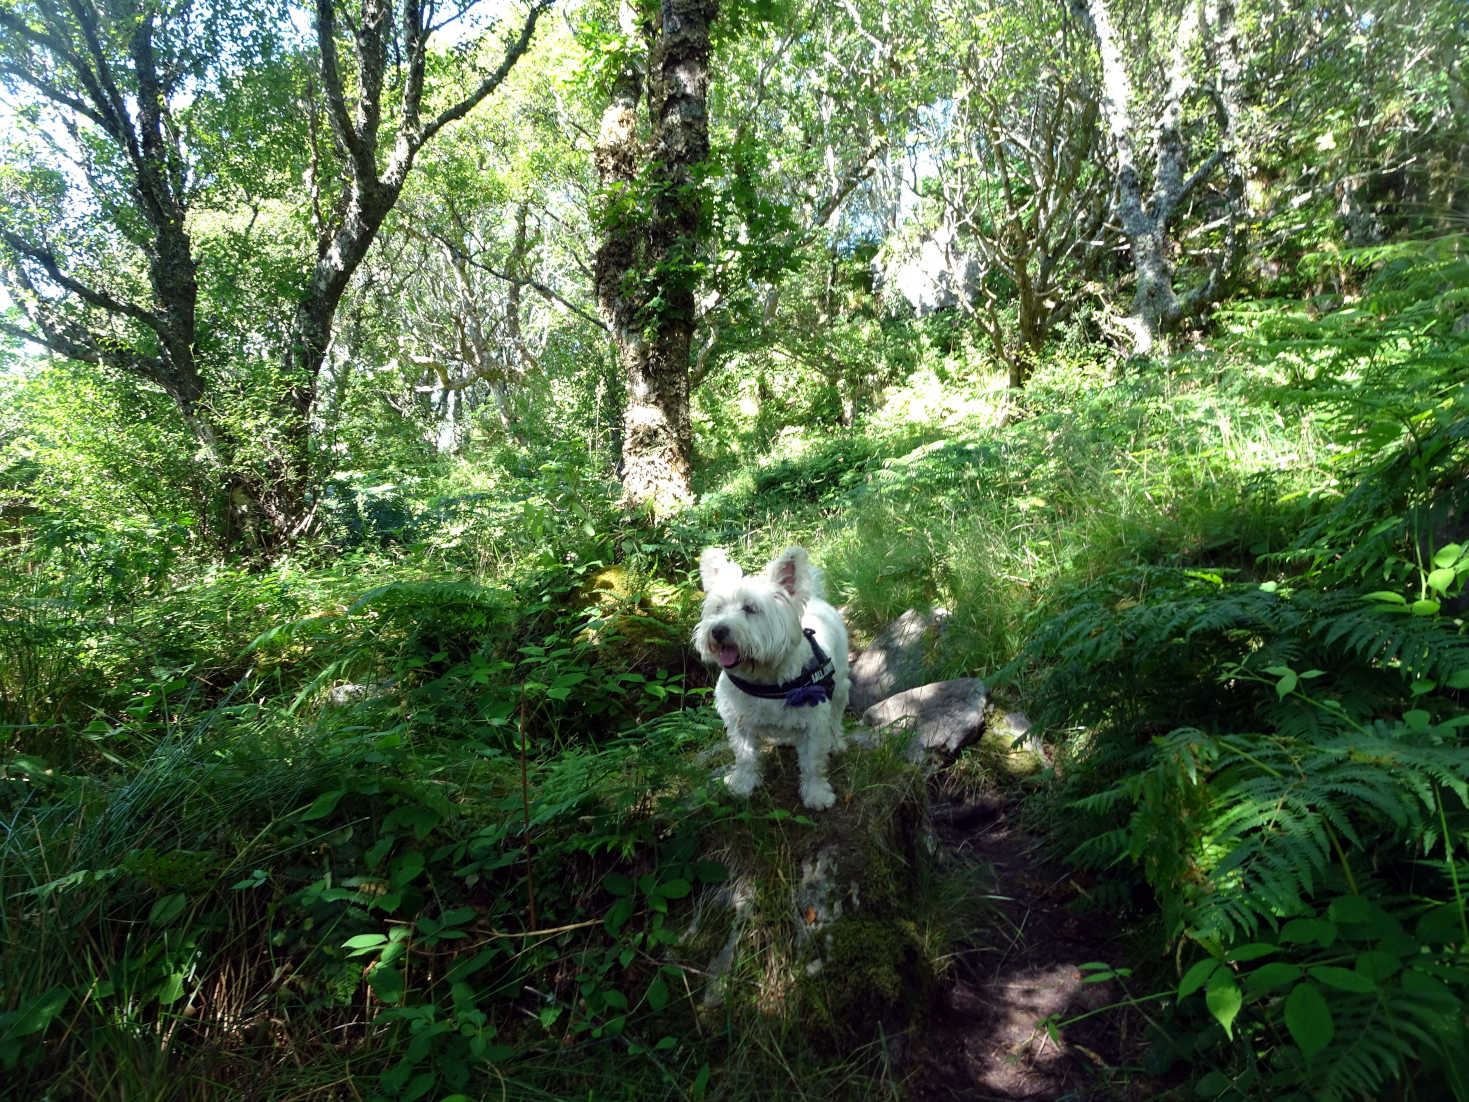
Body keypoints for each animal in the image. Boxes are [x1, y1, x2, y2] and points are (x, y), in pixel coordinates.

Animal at [690, 546, 852, 811]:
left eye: (750, 608)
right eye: (718, 609)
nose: (718, 630)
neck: (764, 679)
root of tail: (815, 598)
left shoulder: (814, 723)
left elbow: (813, 763)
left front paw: (817, 794)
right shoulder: (738, 723)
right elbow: (745, 757)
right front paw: (743, 785)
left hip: (838, 687)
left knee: (836, 717)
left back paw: (836, 742)